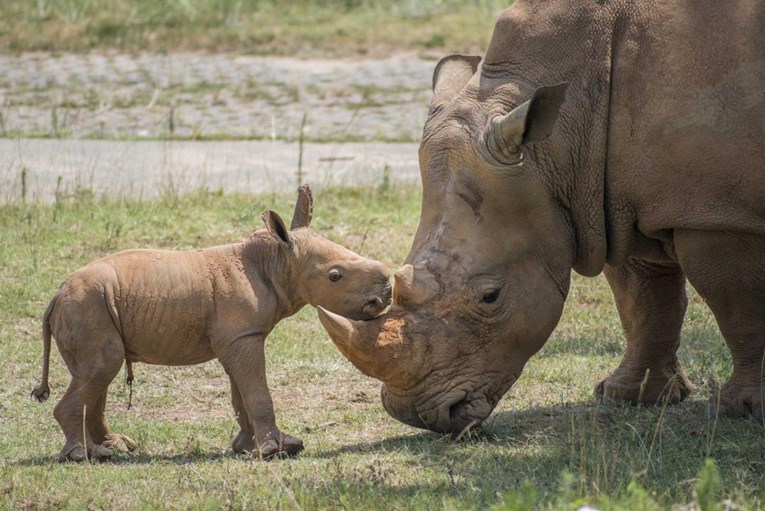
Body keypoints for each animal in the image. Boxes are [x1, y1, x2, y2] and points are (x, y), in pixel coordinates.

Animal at [30, 186, 390, 462]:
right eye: (335, 276)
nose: (385, 294)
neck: (275, 260)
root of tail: (55, 296)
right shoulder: (243, 336)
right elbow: (256, 391)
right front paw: (277, 450)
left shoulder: (237, 337)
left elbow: (241, 392)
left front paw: (249, 448)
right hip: (85, 306)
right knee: (102, 366)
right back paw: (83, 456)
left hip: (87, 305)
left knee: (96, 374)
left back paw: (113, 448)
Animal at [316, 0, 764, 438]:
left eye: (491, 296)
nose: (416, 415)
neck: (558, 140)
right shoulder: (613, 201)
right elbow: (642, 299)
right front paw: (629, 396)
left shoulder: (714, 214)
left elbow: (738, 304)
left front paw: (740, 409)